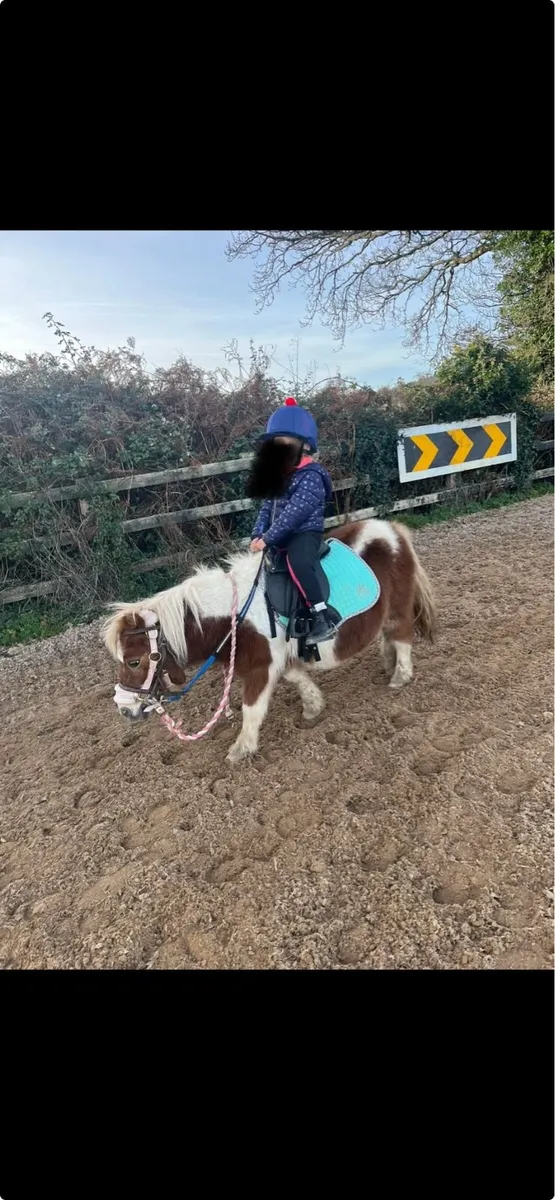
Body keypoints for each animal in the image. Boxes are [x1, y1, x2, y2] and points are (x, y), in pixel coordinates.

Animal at [102, 518, 436, 763]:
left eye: (134, 661)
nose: (124, 709)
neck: (234, 617)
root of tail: (393, 529)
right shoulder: (275, 659)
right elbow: (296, 677)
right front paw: (313, 706)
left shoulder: (259, 667)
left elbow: (252, 707)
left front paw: (241, 749)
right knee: (388, 637)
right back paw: (387, 663)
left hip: (398, 608)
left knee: (402, 636)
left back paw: (400, 676)